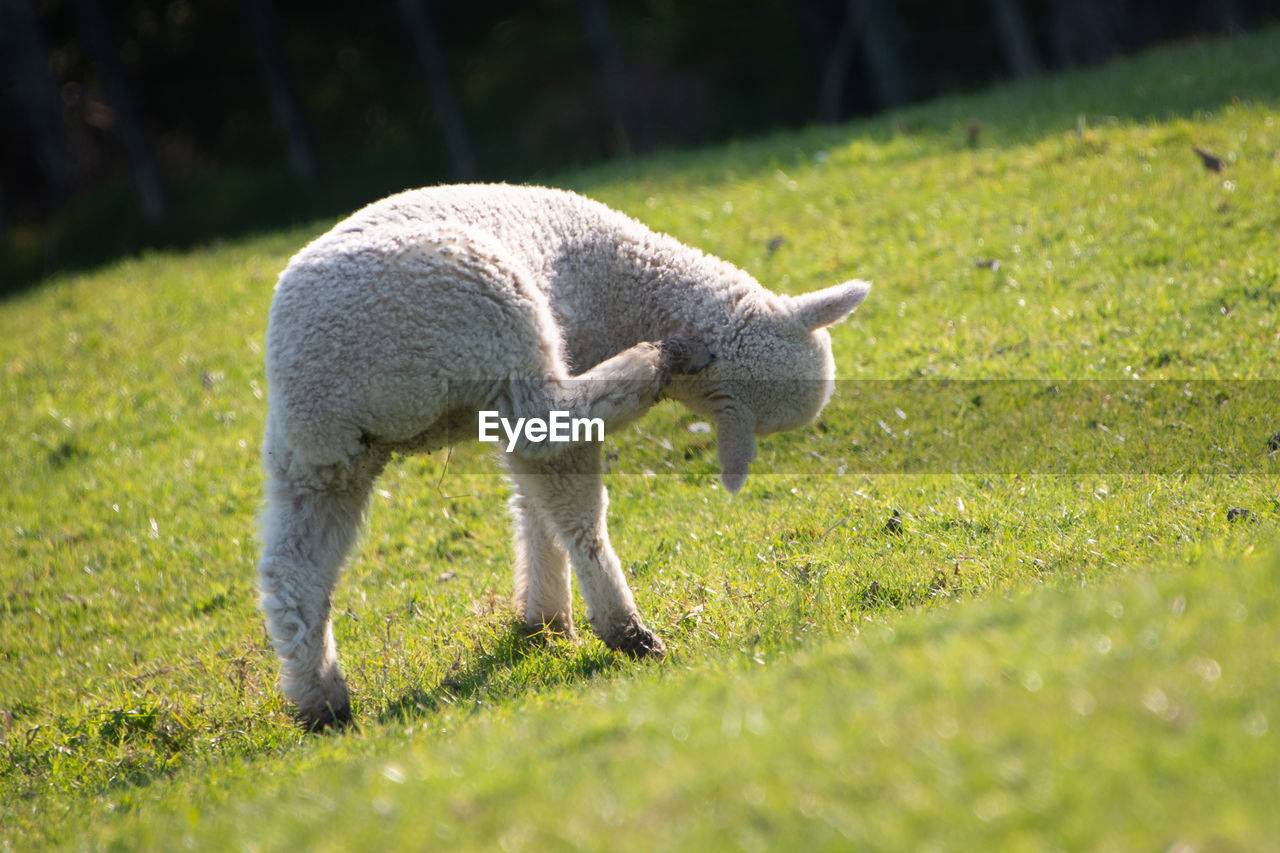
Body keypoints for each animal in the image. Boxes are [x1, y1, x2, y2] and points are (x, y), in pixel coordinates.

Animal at [264, 183, 875, 727]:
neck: (632, 290)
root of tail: (334, 388)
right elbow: (561, 502)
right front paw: (589, 624)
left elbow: (534, 508)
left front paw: (544, 621)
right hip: (493, 316)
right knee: (562, 426)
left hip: (314, 460)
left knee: (290, 574)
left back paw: (321, 704)